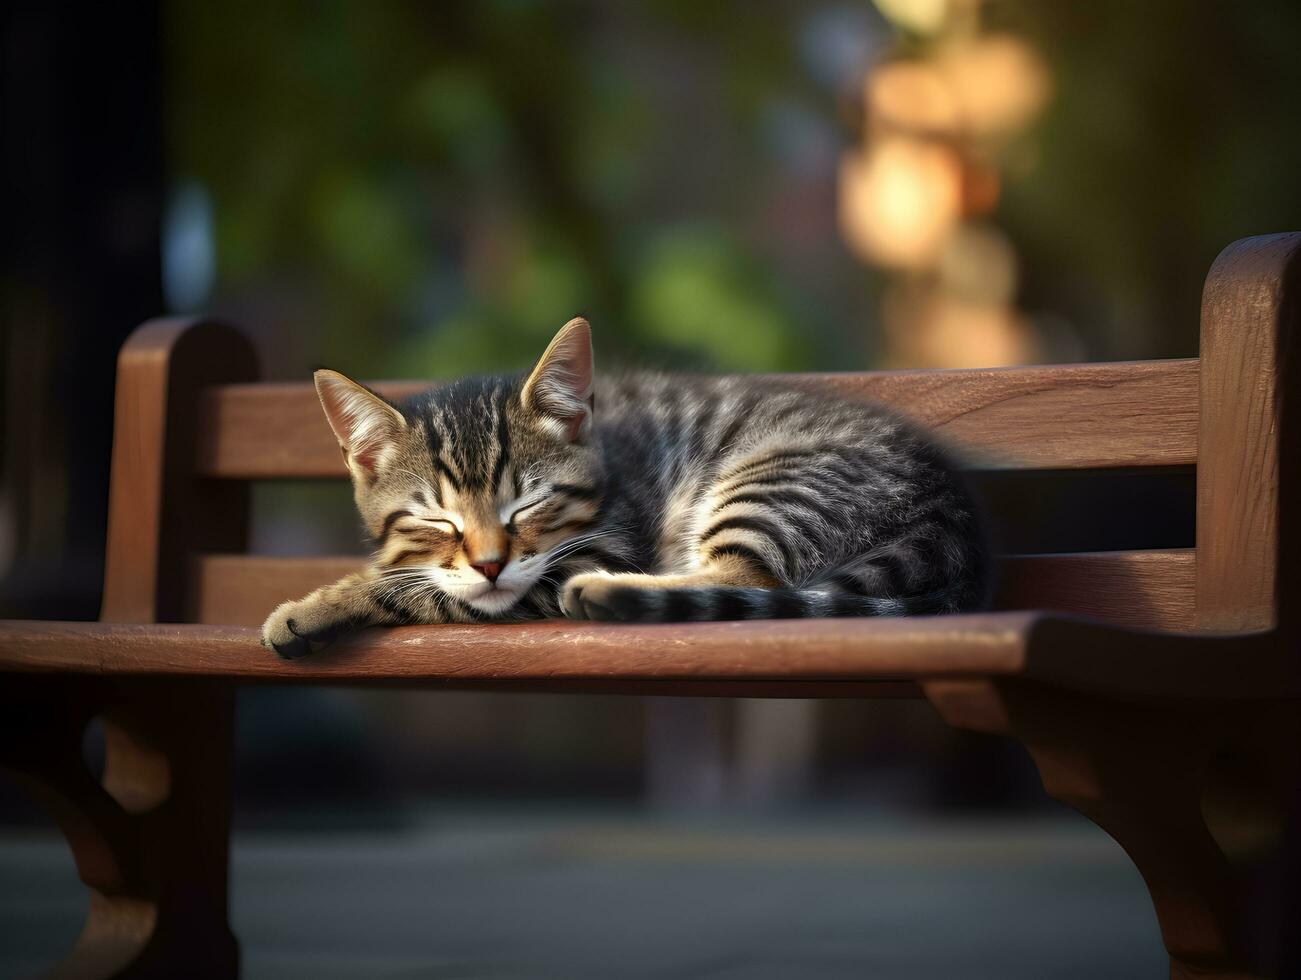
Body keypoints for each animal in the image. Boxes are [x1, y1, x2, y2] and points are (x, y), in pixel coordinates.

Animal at [266, 317, 993, 661]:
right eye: (438, 519)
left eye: (528, 504)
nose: (490, 564)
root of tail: (953, 514)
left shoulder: (588, 550)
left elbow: (419, 592)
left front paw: (310, 607)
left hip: (772, 483)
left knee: (748, 578)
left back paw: (609, 593)